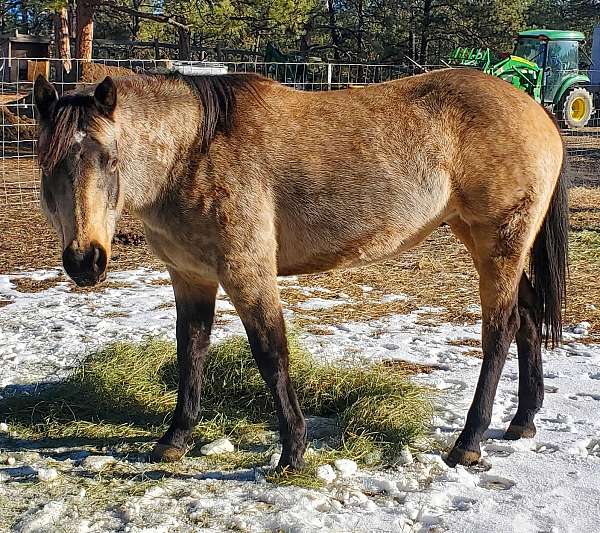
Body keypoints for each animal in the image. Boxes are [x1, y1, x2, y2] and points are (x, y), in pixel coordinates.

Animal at [32, 65, 568, 466]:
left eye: (110, 159)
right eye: (47, 164)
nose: (85, 261)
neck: (194, 153)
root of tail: (537, 110)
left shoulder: (247, 273)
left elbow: (272, 354)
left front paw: (292, 450)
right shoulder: (190, 277)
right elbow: (191, 350)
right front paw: (175, 438)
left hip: (498, 244)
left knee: (500, 331)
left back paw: (468, 443)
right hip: (489, 243)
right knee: (526, 317)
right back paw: (522, 421)